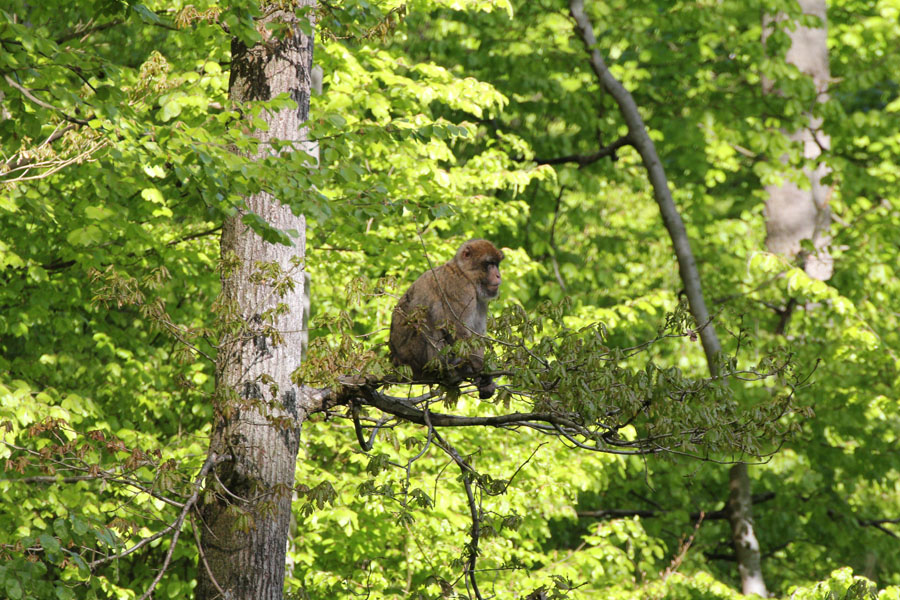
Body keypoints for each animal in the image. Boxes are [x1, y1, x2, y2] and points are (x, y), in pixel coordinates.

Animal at [392, 238, 506, 398]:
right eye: (489, 264)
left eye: (496, 264)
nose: (498, 276)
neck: (464, 273)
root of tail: (395, 359)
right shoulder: (460, 288)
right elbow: (457, 330)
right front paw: (481, 368)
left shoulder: (481, 301)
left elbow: (476, 336)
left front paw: (485, 383)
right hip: (415, 356)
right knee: (429, 319)